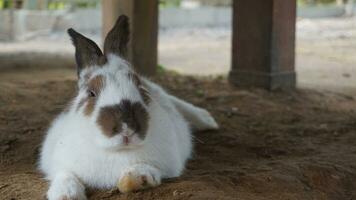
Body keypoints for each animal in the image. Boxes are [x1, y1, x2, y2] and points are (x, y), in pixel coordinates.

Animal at [38, 14, 217, 199]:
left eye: (139, 86)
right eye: (91, 93)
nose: (126, 128)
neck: (116, 151)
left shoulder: (167, 164)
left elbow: (146, 171)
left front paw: (134, 180)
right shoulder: (61, 163)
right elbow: (65, 176)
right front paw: (66, 194)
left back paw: (207, 120)